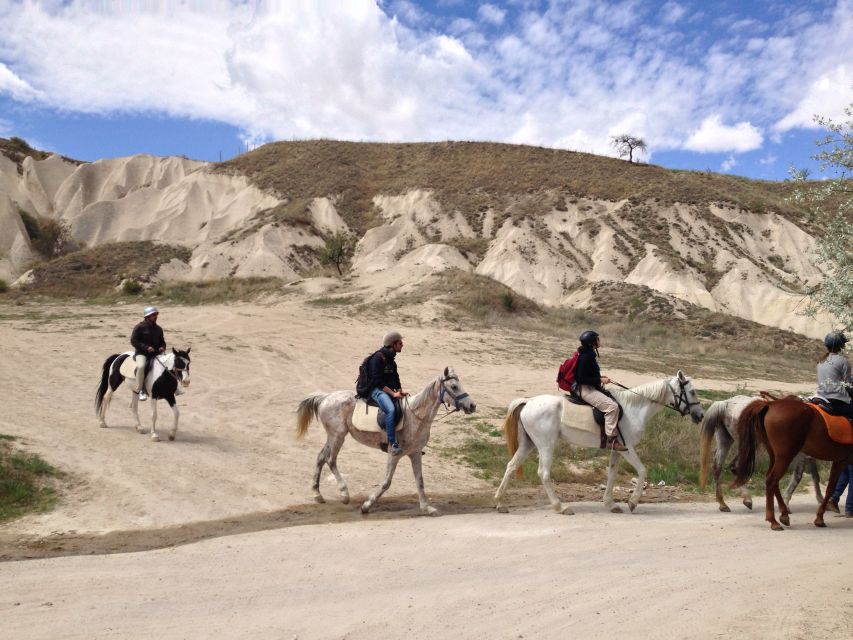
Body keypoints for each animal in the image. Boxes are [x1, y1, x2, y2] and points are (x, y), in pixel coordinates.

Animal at [296, 364, 476, 516]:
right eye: (454, 386)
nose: (472, 406)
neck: (416, 416)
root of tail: (326, 397)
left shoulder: (415, 453)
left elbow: (420, 481)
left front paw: (426, 508)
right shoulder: (394, 454)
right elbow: (386, 483)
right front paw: (366, 505)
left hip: (333, 436)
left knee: (321, 457)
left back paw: (317, 495)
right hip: (338, 435)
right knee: (330, 460)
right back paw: (344, 494)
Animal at [496, 370, 704, 516]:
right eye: (692, 392)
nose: (700, 416)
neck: (634, 409)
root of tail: (527, 402)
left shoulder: (618, 449)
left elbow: (612, 474)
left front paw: (611, 504)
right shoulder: (628, 449)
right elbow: (642, 471)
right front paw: (633, 502)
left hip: (528, 444)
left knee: (511, 466)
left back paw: (500, 502)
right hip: (546, 445)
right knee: (544, 473)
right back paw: (560, 507)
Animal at [728, 398, 852, 532]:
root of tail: (769, 404)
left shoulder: (840, 461)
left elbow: (831, 487)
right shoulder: (841, 461)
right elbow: (831, 488)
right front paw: (820, 518)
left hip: (774, 455)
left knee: (772, 481)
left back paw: (783, 514)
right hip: (785, 456)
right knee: (771, 480)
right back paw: (773, 520)